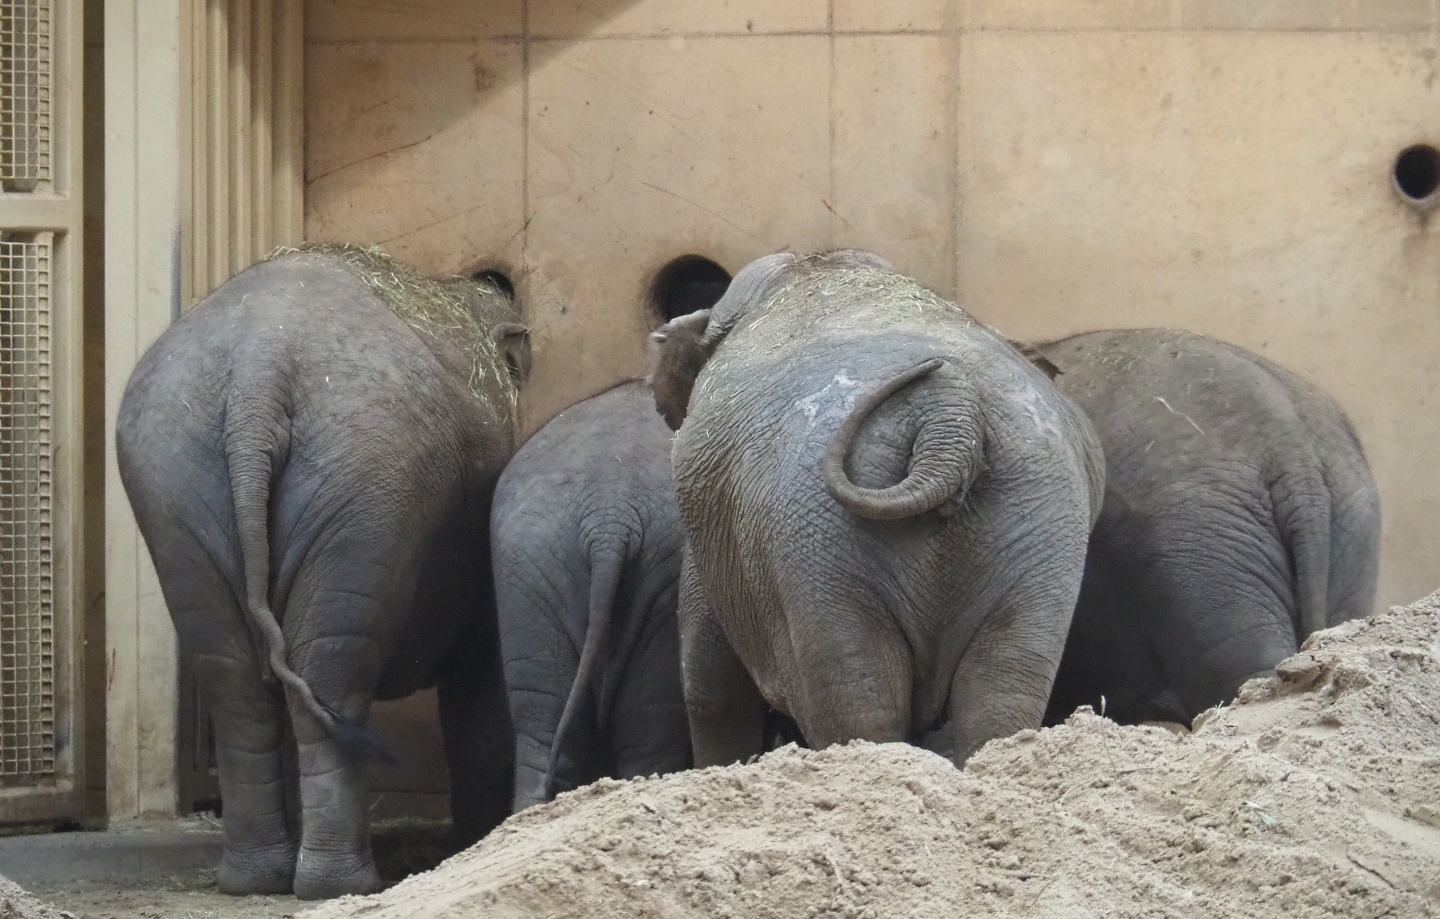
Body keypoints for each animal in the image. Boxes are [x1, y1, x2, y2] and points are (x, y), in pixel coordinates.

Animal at [116, 245, 530, 899]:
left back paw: (257, 880)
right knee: (329, 672)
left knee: (238, 680)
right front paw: (478, 843)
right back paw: (341, 885)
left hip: (175, 487)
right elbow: (480, 676)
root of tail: (257, 374)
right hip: (362, 485)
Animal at [647, 250, 1105, 769]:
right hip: (1042, 518)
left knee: (856, 705)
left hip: (815, 541)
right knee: (1002, 691)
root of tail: (949, 413)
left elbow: (710, 686)